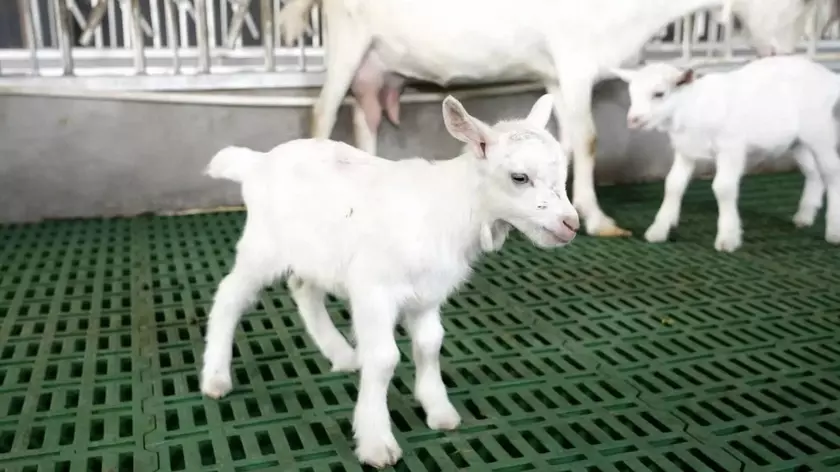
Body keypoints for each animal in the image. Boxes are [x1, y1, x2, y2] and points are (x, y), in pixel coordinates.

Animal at [199, 94, 579, 468]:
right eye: (519, 177)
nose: (571, 224)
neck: (449, 210)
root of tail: (256, 163)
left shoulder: (428, 295)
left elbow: (430, 344)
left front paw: (438, 409)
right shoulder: (374, 291)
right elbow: (384, 359)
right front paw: (376, 442)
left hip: (314, 254)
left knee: (303, 289)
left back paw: (342, 354)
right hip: (262, 246)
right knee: (230, 295)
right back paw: (216, 378)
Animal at [275, 0, 819, 238]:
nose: (783, 53)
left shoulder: (557, 75)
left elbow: (565, 140)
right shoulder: (575, 61)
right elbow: (591, 138)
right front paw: (600, 220)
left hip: (380, 66)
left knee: (364, 118)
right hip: (348, 42)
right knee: (321, 112)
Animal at [612, 55, 840, 252]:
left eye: (659, 94)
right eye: (632, 94)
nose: (633, 120)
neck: (692, 106)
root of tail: (830, 78)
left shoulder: (731, 148)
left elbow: (723, 188)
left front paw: (728, 237)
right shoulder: (686, 151)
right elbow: (673, 185)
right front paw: (659, 229)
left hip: (820, 131)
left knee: (831, 172)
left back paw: (833, 230)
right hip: (798, 142)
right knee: (814, 172)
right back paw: (805, 216)